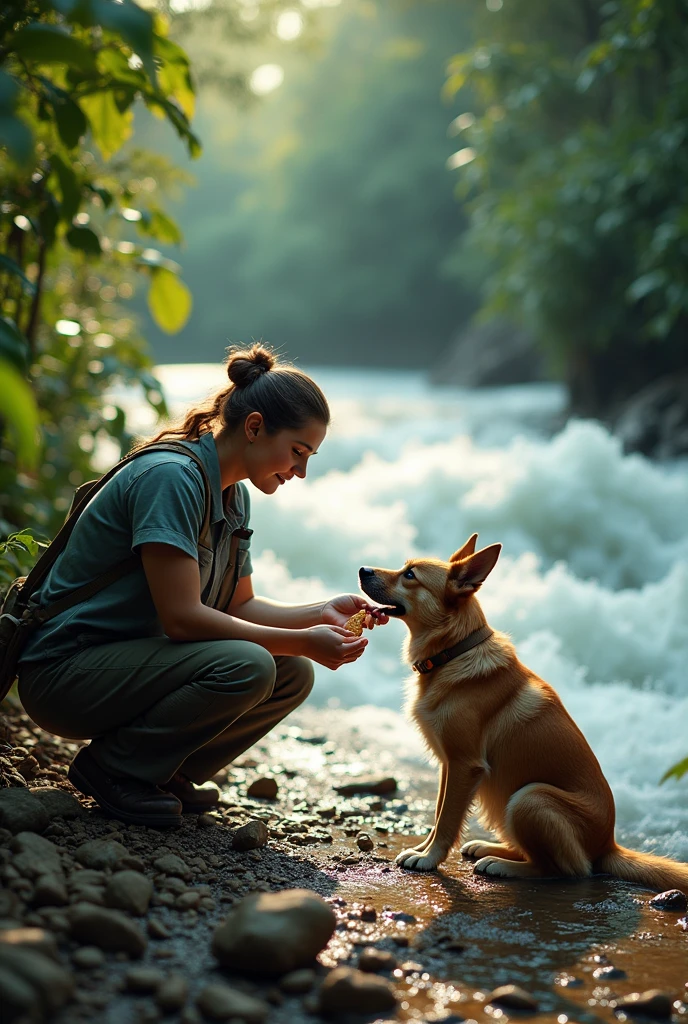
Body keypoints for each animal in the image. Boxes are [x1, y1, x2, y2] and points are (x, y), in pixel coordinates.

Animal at [358, 536, 688, 888]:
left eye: (410, 575)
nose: (362, 570)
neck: (455, 651)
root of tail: (607, 845)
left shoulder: (465, 764)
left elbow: (447, 819)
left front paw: (429, 858)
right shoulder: (450, 765)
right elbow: (438, 813)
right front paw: (424, 848)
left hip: (529, 798)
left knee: (566, 868)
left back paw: (504, 865)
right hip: (506, 800)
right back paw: (491, 849)